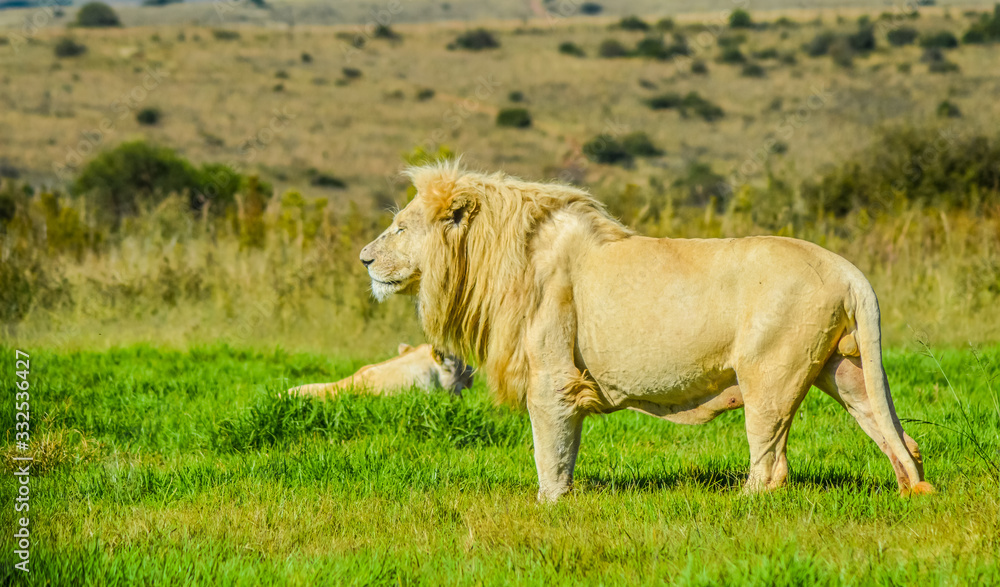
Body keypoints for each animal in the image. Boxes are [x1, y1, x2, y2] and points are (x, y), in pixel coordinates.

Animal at [359, 161, 934, 502]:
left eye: (400, 228)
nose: (364, 258)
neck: (493, 255)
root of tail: (848, 269)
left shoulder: (552, 376)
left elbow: (550, 448)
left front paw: (551, 504)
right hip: (844, 369)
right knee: (898, 436)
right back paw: (910, 489)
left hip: (769, 374)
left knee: (771, 465)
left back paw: (741, 505)